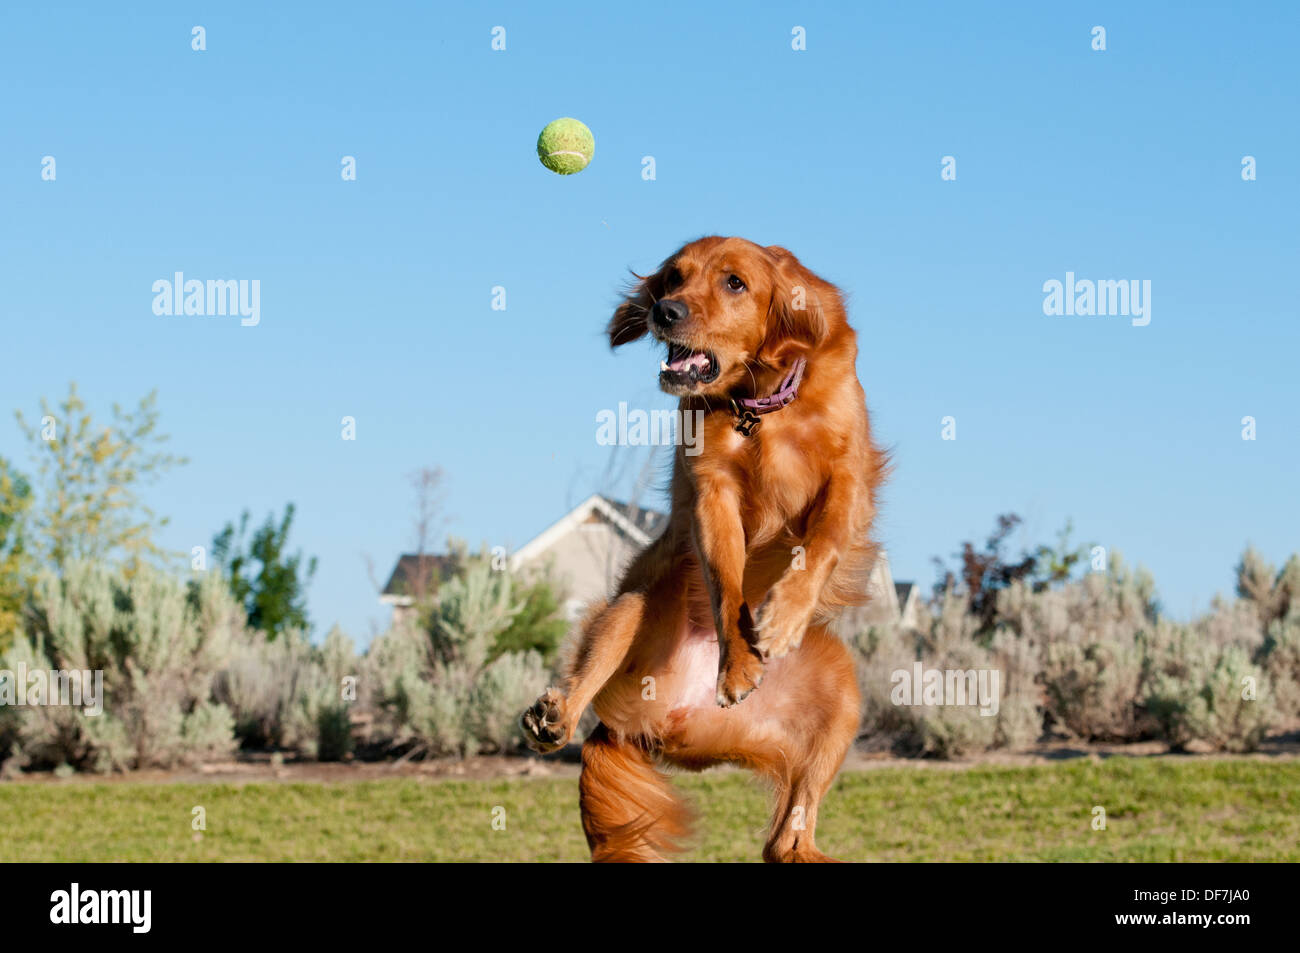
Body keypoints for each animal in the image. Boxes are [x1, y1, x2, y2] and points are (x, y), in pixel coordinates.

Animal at [522, 234, 889, 858]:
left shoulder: (847, 475)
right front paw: (738, 661)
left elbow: (822, 543)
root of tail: (666, 719)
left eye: (735, 283)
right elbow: (725, 582)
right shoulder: (712, 491)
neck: (762, 404)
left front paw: (783, 617)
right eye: (673, 276)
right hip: (633, 607)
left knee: (788, 839)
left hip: (841, 694)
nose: (664, 311)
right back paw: (555, 717)